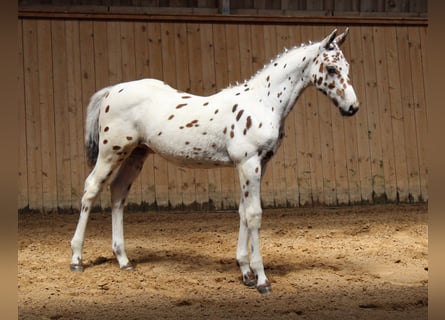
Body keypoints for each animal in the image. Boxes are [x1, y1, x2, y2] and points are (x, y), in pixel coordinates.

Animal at [71, 29, 360, 296]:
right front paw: (262, 280)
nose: (352, 107)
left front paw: (245, 272)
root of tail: (111, 91)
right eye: (331, 68)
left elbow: (243, 212)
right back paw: (77, 259)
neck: (261, 102)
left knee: (118, 192)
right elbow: (254, 215)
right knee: (91, 189)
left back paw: (123, 260)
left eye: (346, 67)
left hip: (136, 154)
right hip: (112, 151)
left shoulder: (258, 165)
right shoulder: (248, 163)